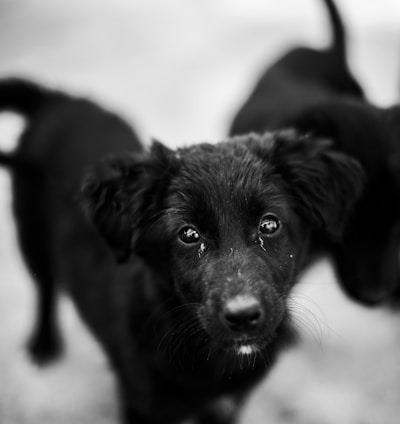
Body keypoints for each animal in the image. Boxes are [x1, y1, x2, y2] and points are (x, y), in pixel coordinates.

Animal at [0, 78, 362, 422]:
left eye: (269, 225)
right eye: (188, 234)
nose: (243, 316)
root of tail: (55, 100)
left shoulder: (227, 405)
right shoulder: (143, 405)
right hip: (30, 234)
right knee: (44, 287)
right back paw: (43, 344)